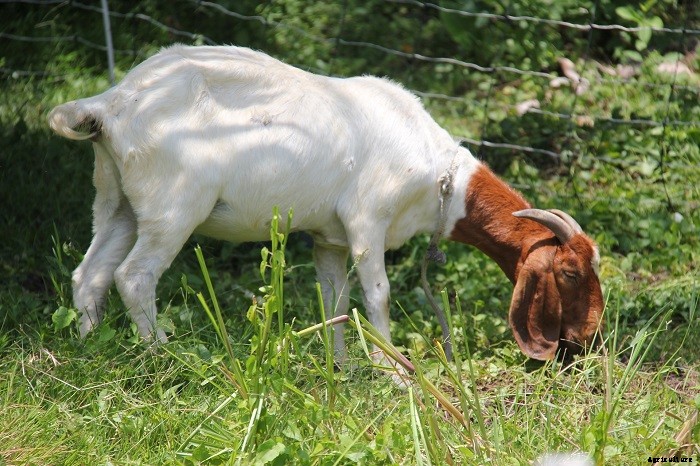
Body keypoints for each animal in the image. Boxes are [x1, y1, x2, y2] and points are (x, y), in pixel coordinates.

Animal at [48, 45, 603, 364]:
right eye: (570, 272)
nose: (590, 336)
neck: (439, 175)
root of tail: (112, 103)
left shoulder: (328, 239)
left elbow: (334, 303)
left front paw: (344, 368)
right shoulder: (367, 223)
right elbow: (377, 296)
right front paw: (393, 370)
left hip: (117, 200)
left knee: (90, 273)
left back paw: (89, 347)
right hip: (174, 207)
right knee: (134, 276)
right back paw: (164, 356)